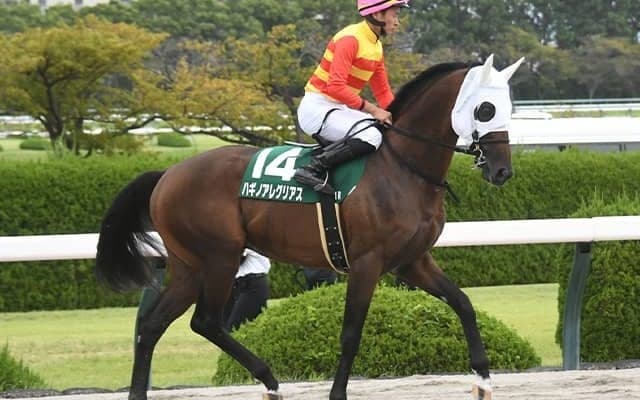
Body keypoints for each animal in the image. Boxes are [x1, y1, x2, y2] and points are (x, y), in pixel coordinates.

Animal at [96, 54, 524, 400]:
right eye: (486, 109)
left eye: (510, 108)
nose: (502, 171)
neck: (403, 168)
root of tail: (167, 174)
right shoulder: (367, 262)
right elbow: (351, 333)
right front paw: (337, 393)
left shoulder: (412, 261)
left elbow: (463, 303)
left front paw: (484, 379)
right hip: (219, 257)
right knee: (206, 321)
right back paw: (269, 379)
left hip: (190, 266)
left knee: (152, 325)